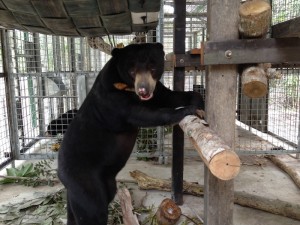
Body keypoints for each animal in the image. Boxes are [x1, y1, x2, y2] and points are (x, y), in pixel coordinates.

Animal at [57, 42, 205, 225]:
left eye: (153, 67)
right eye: (132, 71)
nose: (143, 90)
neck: (126, 86)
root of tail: (60, 172)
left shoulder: (156, 89)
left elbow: (170, 96)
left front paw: (199, 103)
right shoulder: (113, 99)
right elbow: (145, 114)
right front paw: (188, 110)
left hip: (99, 184)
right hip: (83, 179)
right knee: (93, 209)